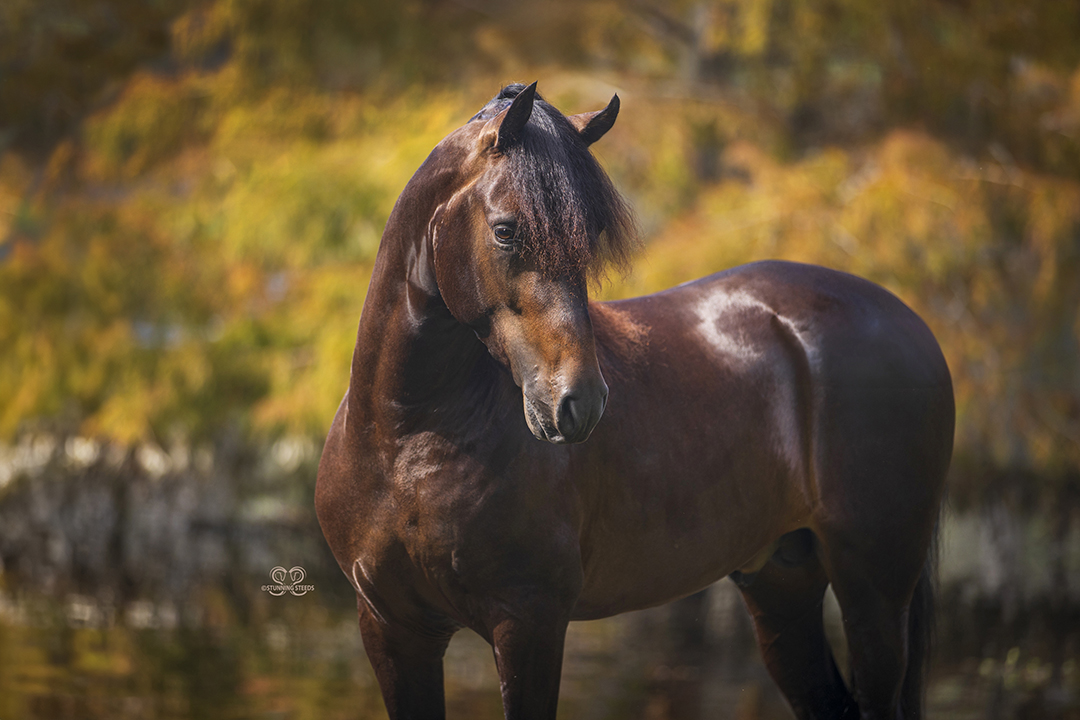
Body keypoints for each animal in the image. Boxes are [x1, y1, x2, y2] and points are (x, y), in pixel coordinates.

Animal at [315, 83, 954, 720]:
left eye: (592, 234)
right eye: (505, 230)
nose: (579, 403)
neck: (408, 441)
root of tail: (909, 320)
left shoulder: (529, 625)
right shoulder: (393, 631)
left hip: (874, 594)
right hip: (782, 586)